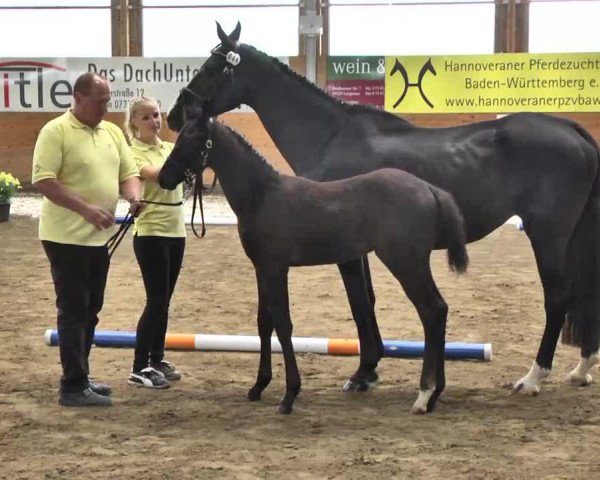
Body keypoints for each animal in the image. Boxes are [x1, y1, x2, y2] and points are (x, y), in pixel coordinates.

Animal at [159, 107, 468, 414]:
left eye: (191, 139)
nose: (163, 178)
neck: (262, 195)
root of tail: (429, 189)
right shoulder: (261, 268)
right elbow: (264, 323)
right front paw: (258, 387)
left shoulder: (276, 268)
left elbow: (283, 325)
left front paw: (289, 396)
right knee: (438, 310)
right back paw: (435, 393)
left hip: (406, 263)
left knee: (431, 310)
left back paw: (425, 395)